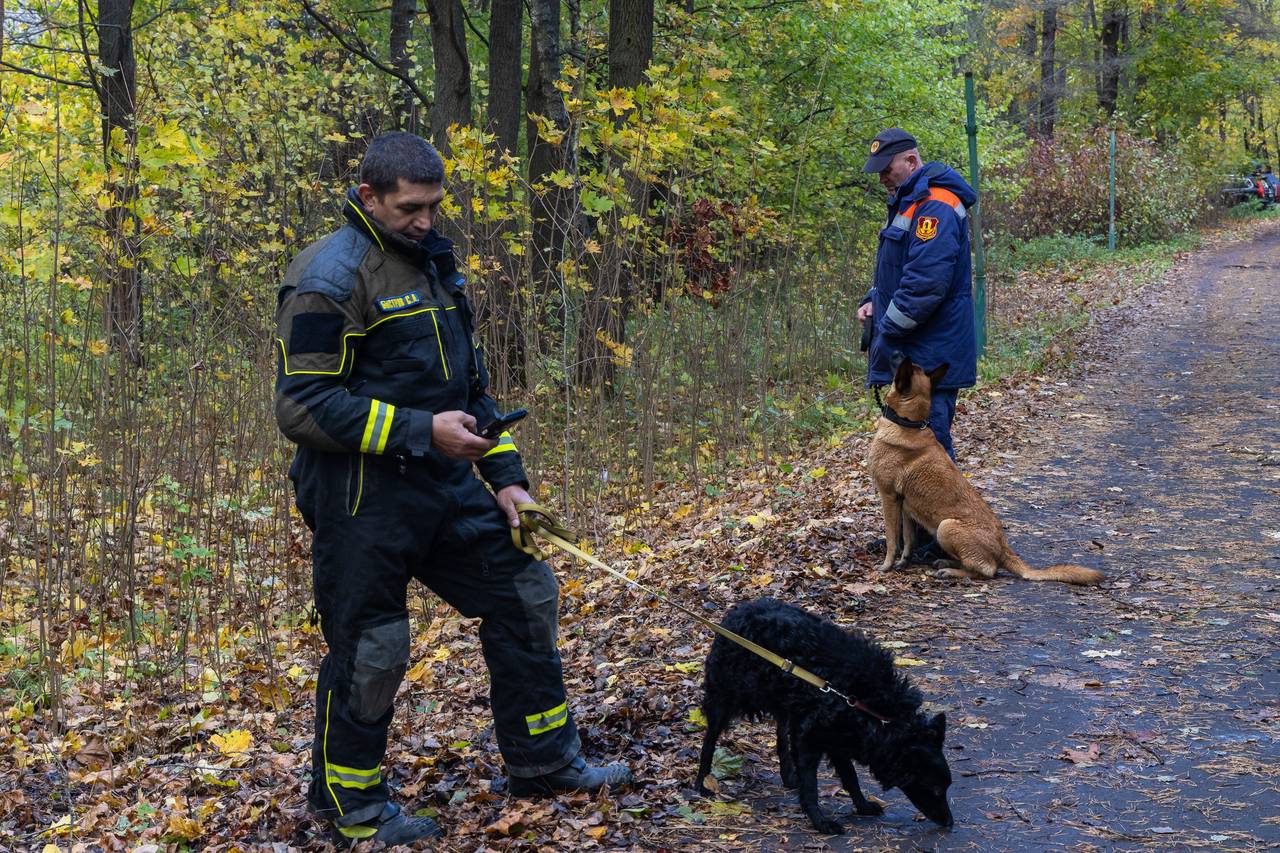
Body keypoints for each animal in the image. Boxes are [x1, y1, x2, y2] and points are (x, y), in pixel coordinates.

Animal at [701, 596, 952, 829]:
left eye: (946, 787)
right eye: (936, 789)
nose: (950, 823)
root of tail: (741, 609)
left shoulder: (838, 737)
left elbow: (850, 777)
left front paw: (862, 806)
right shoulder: (811, 740)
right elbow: (812, 786)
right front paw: (820, 822)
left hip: (785, 706)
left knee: (781, 737)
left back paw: (788, 776)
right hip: (723, 698)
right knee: (709, 741)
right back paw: (700, 784)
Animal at [870, 356, 1100, 584]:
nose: (894, 353)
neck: (908, 424)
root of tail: (1003, 548)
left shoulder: (888, 497)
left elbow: (892, 538)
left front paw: (886, 566)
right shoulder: (906, 505)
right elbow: (908, 539)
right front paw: (903, 562)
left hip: (946, 527)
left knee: (986, 570)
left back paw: (951, 571)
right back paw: (947, 563)